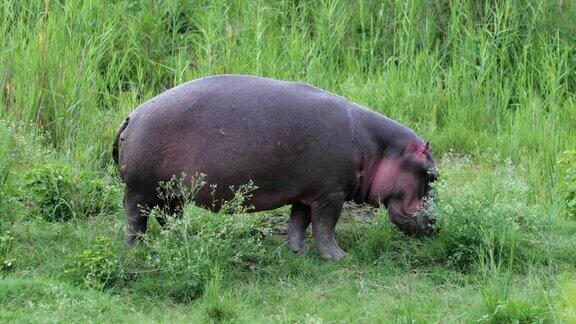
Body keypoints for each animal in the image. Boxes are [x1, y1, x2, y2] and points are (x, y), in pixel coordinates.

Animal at [111, 74, 436, 260]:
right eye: (432, 175)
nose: (435, 223)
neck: (378, 149)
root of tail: (132, 116)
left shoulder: (309, 193)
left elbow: (299, 223)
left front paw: (298, 253)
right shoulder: (331, 194)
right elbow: (325, 227)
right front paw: (339, 257)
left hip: (172, 192)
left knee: (169, 218)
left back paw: (182, 243)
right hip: (141, 190)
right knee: (135, 217)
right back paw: (134, 250)